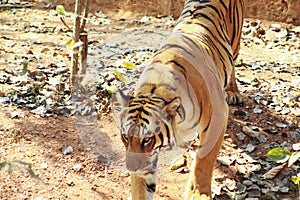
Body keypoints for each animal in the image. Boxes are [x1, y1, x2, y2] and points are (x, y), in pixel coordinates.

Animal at [111, 0, 245, 198]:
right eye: (125, 137)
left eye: (147, 140)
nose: (131, 168)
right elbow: (141, 186)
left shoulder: (218, 116)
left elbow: (204, 158)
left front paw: (199, 193)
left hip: (234, 42)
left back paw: (233, 91)